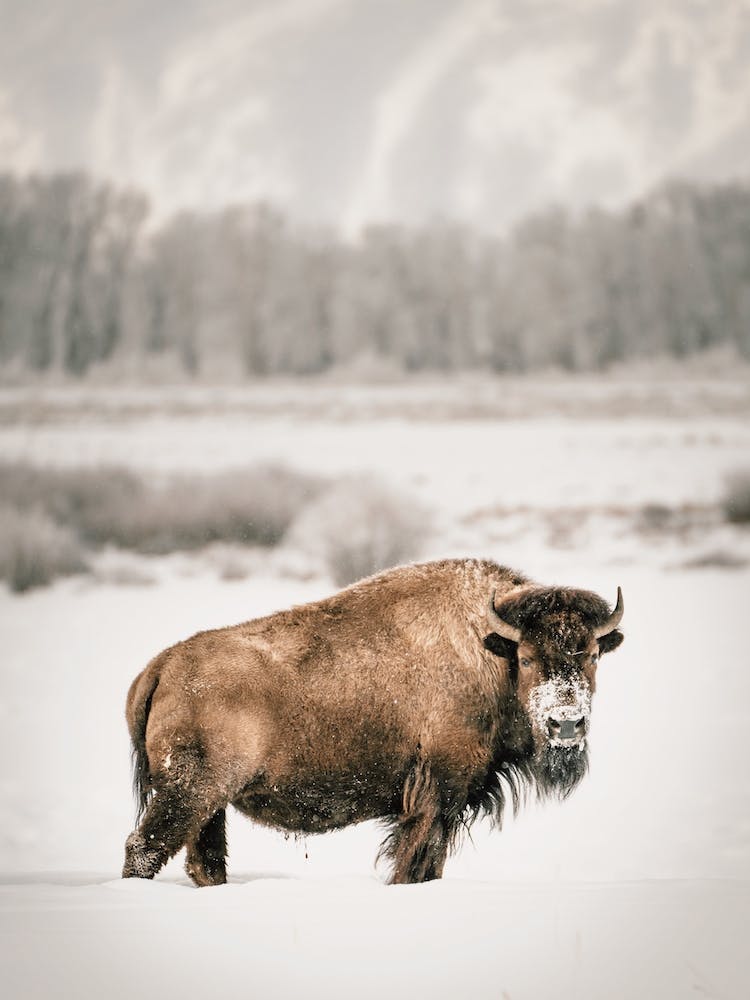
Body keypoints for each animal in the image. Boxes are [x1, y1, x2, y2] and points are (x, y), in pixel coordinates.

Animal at [122, 558, 624, 885]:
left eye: (592, 655)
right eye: (527, 657)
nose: (566, 724)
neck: (489, 650)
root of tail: (161, 666)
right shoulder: (437, 795)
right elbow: (418, 863)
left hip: (210, 805)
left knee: (203, 861)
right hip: (189, 794)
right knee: (144, 849)